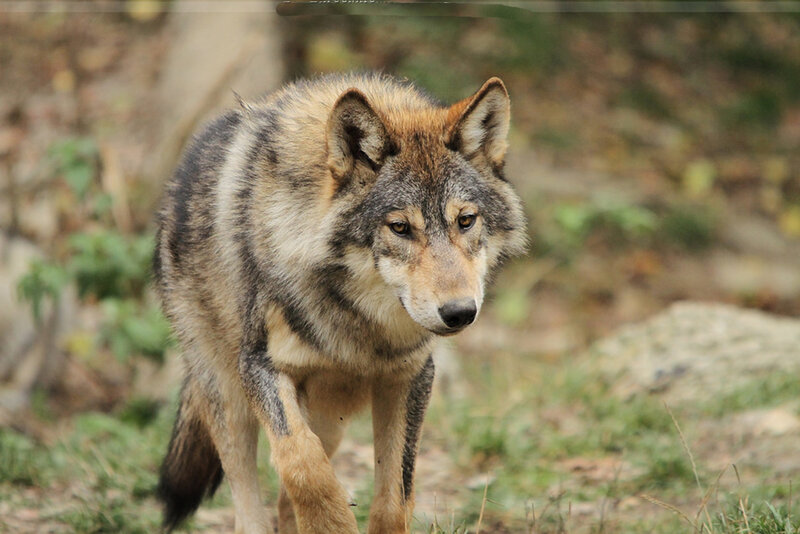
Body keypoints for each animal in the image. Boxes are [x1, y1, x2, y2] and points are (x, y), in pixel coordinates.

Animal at [153, 72, 526, 534]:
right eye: (400, 227)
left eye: (466, 221)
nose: (459, 313)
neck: (360, 323)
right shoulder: (259, 367)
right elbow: (303, 466)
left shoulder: (410, 377)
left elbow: (395, 497)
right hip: (228, 396)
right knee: (252, 504)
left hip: (329, 420)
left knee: (285, 500)